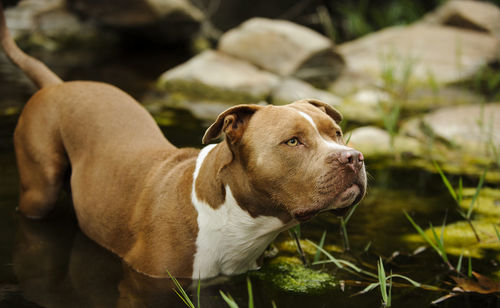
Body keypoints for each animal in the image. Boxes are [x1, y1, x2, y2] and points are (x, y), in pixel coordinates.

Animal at [0, 3, 368, 280]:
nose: (352, 157)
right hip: (40, 187)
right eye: (293, 142)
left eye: (336, 133)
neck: (236, 221)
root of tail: (57, 84)